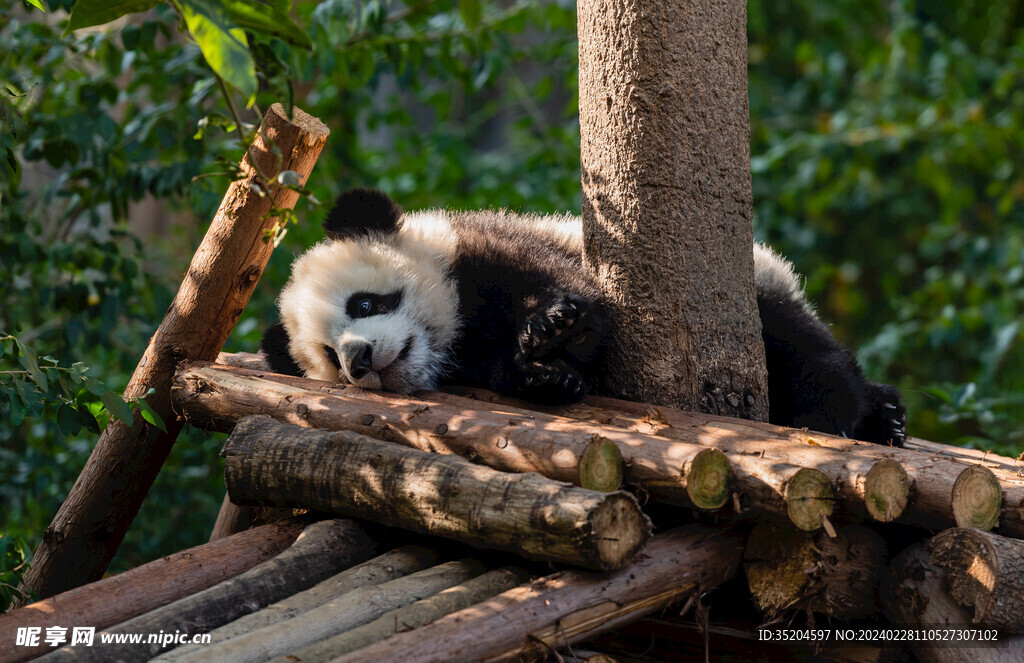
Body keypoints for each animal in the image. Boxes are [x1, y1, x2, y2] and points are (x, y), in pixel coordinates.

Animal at [260, 188, 909, 446]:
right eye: (328, 356)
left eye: (364, 304)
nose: (359, 358)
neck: (452, 336)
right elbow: (507, 372)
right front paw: (547, 377)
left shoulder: (485, 248)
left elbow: (575, 293)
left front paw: (552, 327)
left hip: (762, 291)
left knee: (803, 350)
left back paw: (849, 413)